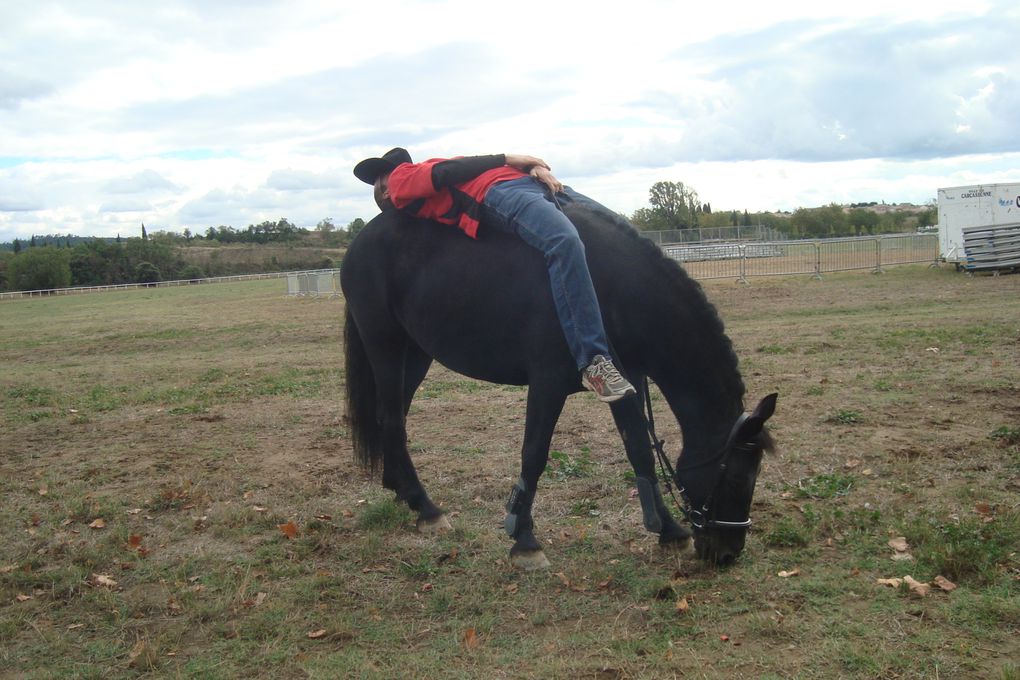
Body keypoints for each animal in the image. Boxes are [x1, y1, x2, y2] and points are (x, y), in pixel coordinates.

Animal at [340, 197, 771, 570]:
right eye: (738, 476)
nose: (729, 552)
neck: (603, 288)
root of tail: (362, 240)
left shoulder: (624, 381)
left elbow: (639, 451)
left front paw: (667, 530)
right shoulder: (547, 383)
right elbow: (534, 454)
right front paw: (524, 540)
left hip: (415, 354)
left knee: (392, 418)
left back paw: (402, 491)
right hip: (385, 345)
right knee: (391, 418)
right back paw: (426, 508)